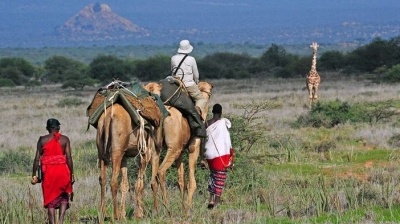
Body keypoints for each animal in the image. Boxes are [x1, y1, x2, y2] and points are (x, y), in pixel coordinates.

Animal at [144, 81, 212, 214]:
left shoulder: (180, 153)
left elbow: (181, 181)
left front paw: (182, 207)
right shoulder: (193, 148)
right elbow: (191, 183)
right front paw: (187, 210)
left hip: (156, 150)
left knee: (153, 180)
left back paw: (156, 210)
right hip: (172, 150)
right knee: (161, 172)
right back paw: (168, 208)